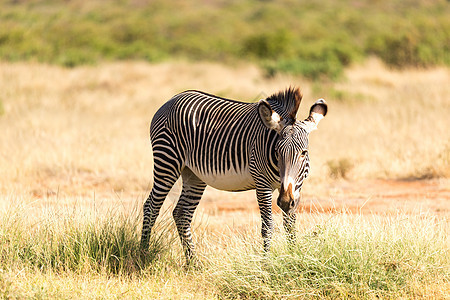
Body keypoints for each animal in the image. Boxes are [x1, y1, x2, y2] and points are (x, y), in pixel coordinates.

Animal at [142, 86, 328, 262]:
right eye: (277, 151)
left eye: (304, 152)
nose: (284, 201)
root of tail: (173, 99)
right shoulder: (262, 184)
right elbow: (267, 227)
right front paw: (265, 265)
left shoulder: (296, 188)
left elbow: (290, 226)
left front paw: (293, 257)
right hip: (167, 161)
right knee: (151, 207)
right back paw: (142, 254)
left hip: (193, 174)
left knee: (182, 214)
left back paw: (193, 263)